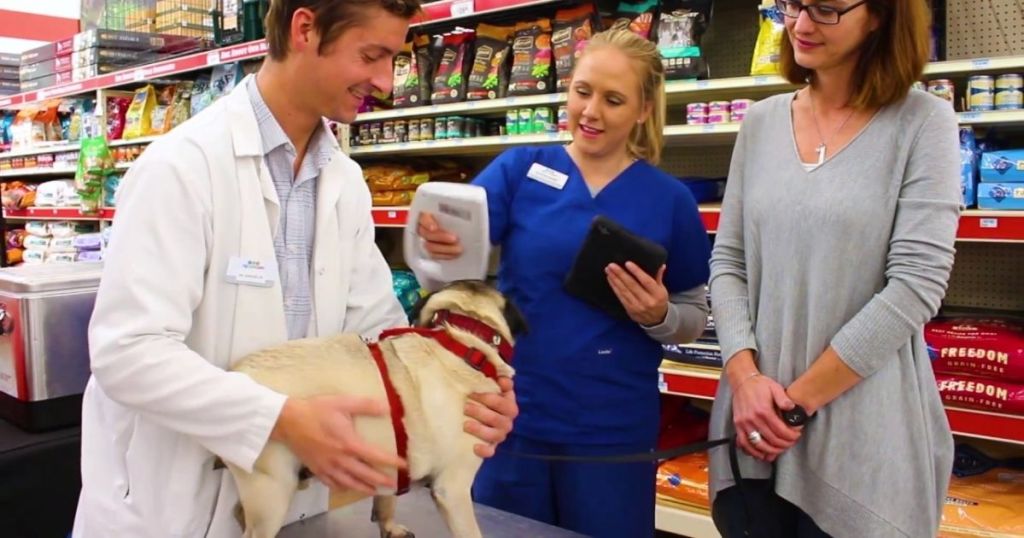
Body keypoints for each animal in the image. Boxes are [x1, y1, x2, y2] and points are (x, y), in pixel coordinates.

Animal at [227, 278, 524, 536]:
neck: (464, 342)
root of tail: (238, 372)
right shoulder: (454, 489)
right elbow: (471, 532)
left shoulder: (392, 465)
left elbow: (386, 501)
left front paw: (389, 527)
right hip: (273, 489)